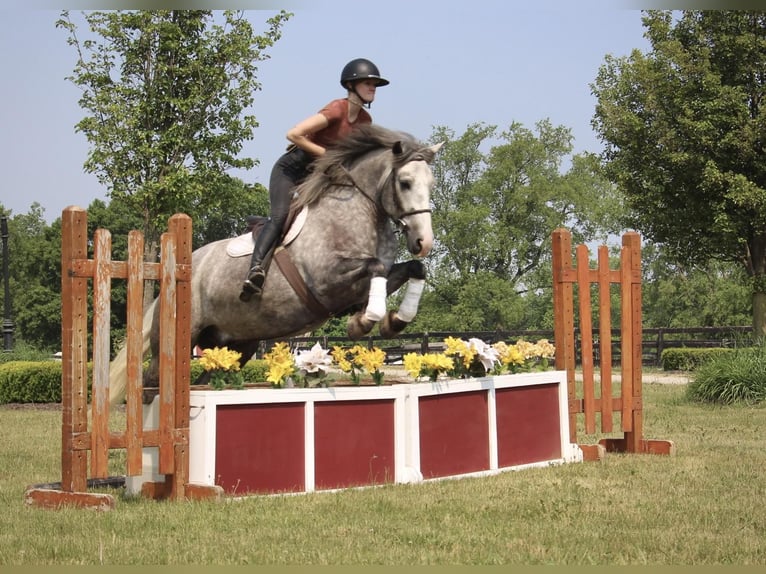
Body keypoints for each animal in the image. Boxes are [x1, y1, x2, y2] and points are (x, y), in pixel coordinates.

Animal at [108, 124, 444, 408]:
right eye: (405, 183)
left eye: (431, 184)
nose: (424, 242)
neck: (358, 210)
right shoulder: (328, 281)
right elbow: (375, 268)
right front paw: (363, 322)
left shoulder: (365, 283)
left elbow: (413, 269)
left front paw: (393, 321)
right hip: (179, 338)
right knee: (152, 382)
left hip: (236, 346)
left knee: (209, 378)